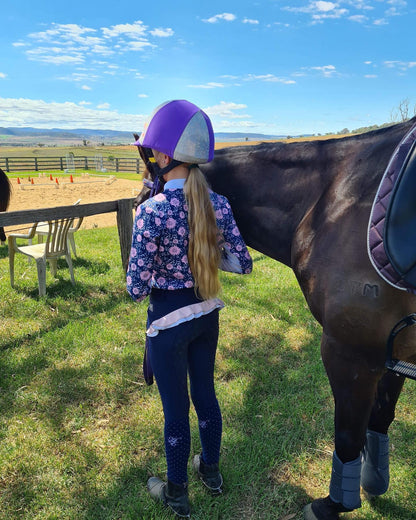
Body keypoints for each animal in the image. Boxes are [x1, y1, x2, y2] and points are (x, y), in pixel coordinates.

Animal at [134, 118, 416, 520]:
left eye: (140, 200)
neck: (331, 201)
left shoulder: (350, 354)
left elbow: (348, 436)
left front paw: (333, 504)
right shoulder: (394, 353)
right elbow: (381, 418)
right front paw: (374, 481)